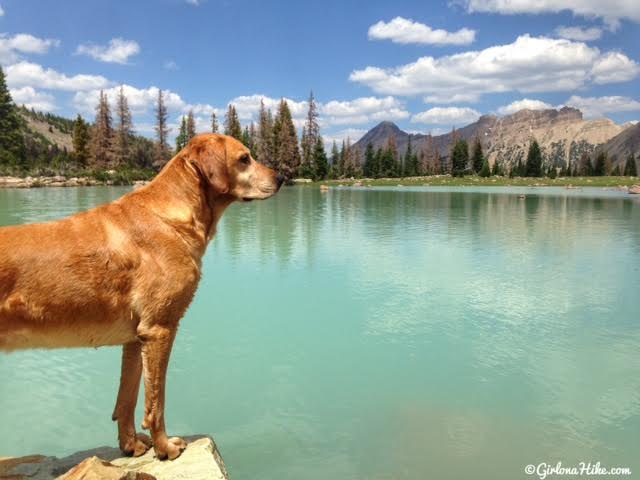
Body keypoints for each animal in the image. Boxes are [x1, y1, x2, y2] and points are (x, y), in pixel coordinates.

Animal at [0, 133, 284, 460]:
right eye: (244, 158)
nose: (282, 178)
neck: (171, 218)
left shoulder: (136, 338)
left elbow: (127, 399)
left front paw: (131, 445)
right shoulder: (160, 329)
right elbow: (155, 402)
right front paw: (165, 448)